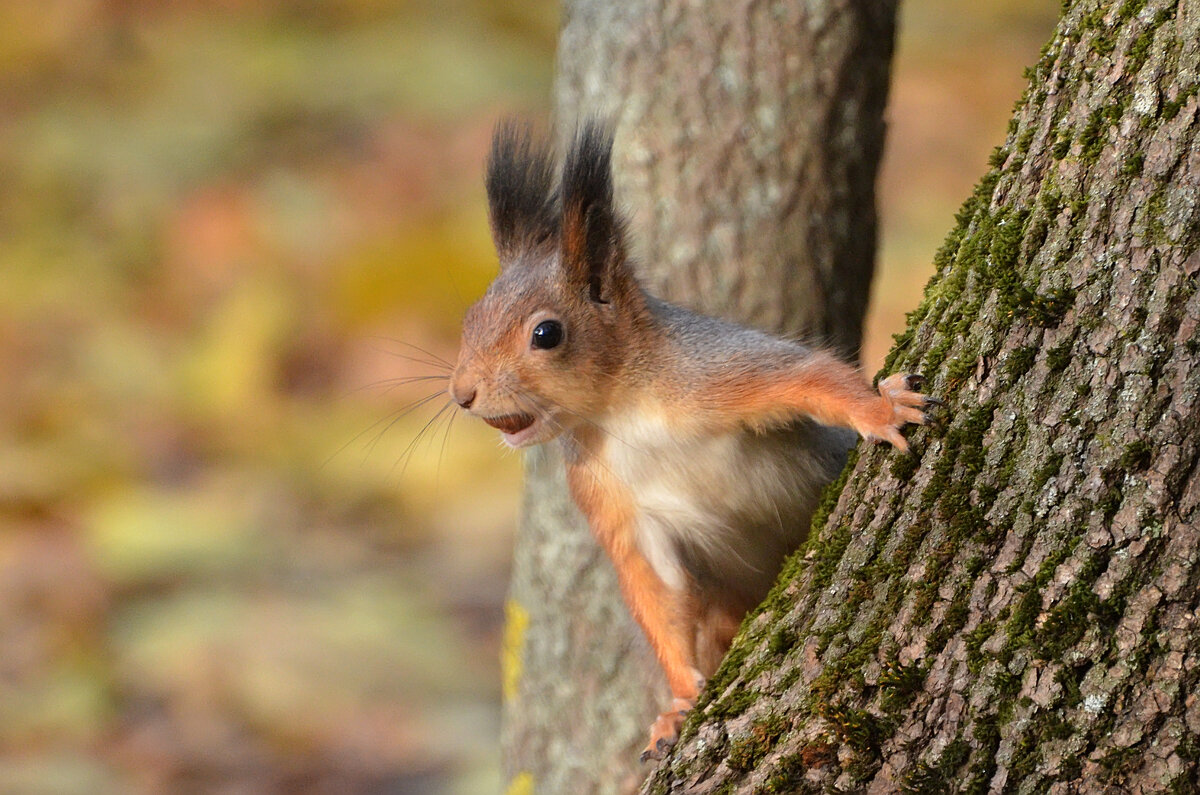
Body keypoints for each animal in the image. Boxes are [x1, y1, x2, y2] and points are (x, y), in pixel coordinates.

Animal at [451, 121, 936, 763]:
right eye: (470, 320)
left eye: (546, 334)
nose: (461, 393)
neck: (621, 413)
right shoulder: (605, 497)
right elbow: (653, 586)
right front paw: (678, 704)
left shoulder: (719, 375)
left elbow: (808, 376)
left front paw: (879, 408)